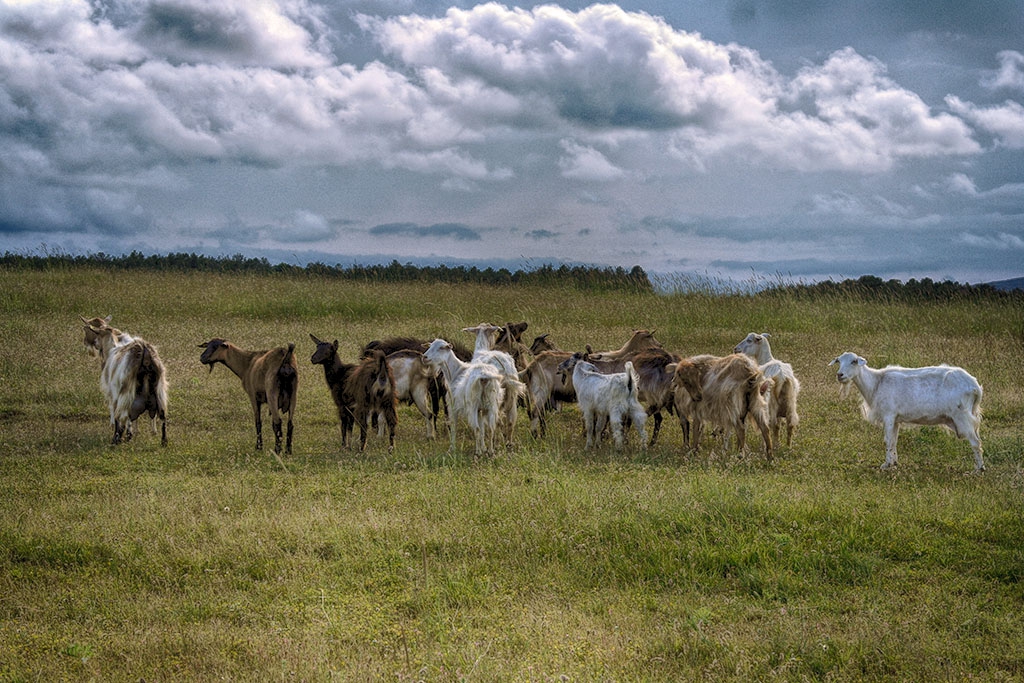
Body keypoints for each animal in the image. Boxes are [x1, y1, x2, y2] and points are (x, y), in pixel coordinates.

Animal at [827, 350, 978, 473]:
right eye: (839, 361)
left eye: (853, 361)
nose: (840, 375)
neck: (876, 383)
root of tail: (975, 386)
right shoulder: (895, 419)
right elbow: (893, 441)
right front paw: (894, 463)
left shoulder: (888, 415)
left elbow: (887, 440)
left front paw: (886, 465)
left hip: (962, 415)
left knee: (975, 442)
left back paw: (978, 470)